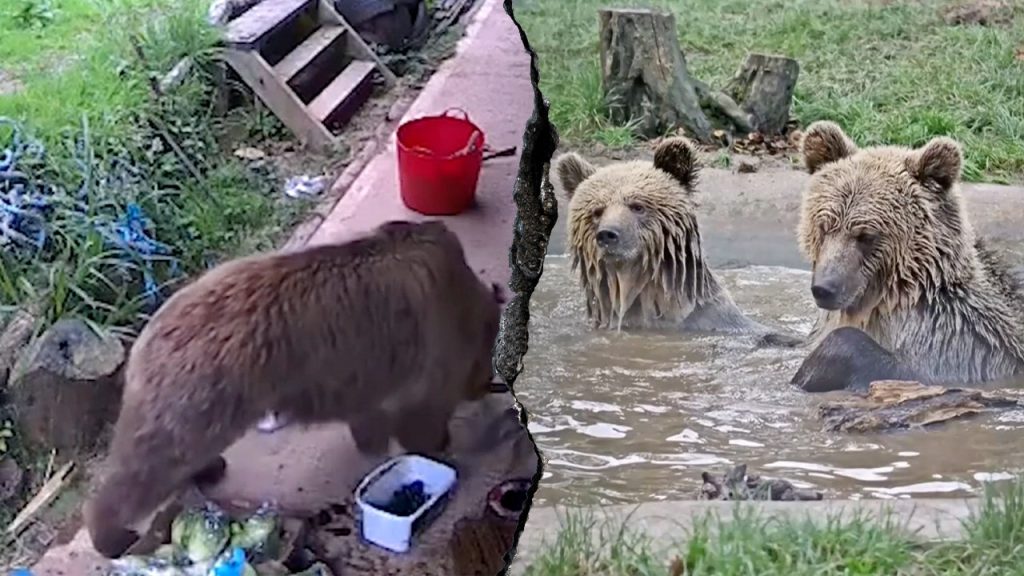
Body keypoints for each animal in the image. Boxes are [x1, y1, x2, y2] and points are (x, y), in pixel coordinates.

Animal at [83, 220, 503, 559]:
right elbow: (420, 414)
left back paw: (208, 468)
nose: (485, 385)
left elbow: (368, 416)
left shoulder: (362, 373)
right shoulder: (430, 349)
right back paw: (111, 535)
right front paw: (438, 447)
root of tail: (145, 336)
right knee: (149, 465)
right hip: (196, 399)